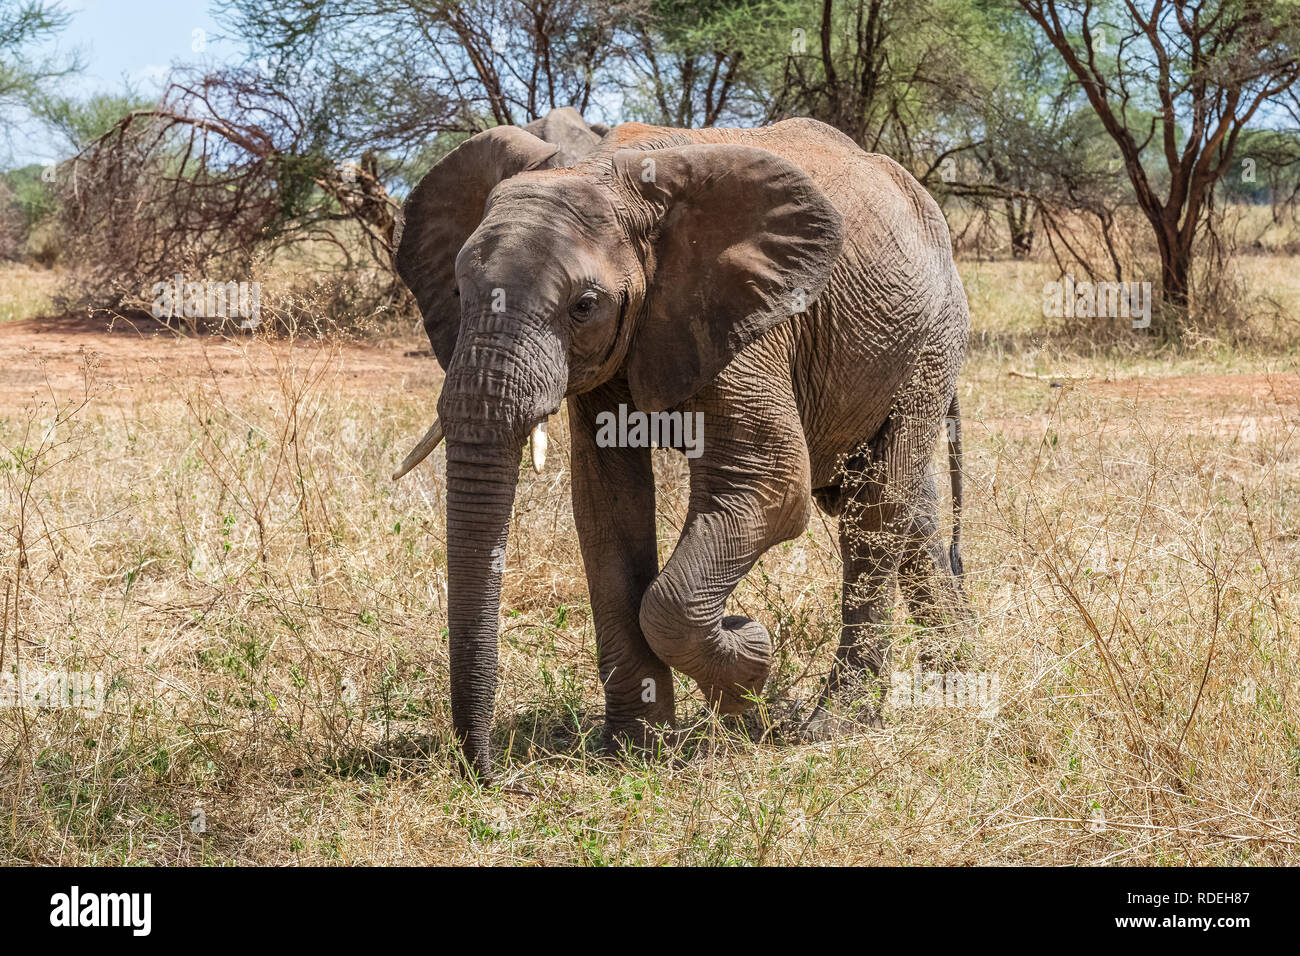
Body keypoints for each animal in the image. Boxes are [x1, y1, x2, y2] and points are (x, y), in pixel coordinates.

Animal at [390, 115, 972, 780]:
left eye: (584, 307)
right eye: (460, 296)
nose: (489, 773)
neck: (604, 168)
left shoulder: (753, 319)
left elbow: (770, 490)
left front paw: (749, 665)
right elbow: (607, 508)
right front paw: (635, 750)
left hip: (931, 342)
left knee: (876, 508)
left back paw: (837, 723)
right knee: (903, 510)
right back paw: (956, 683)